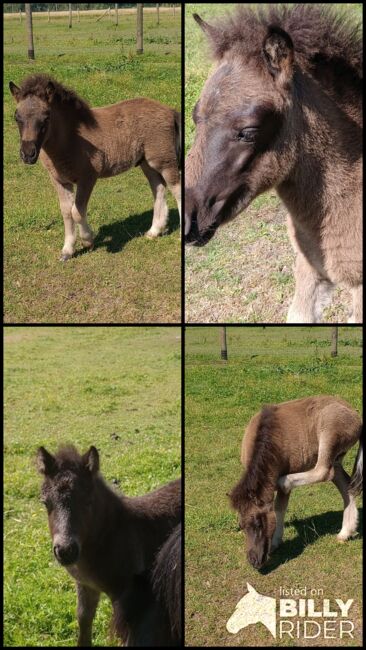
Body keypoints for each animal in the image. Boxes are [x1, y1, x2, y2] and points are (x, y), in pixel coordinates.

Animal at [11, 74, 182, 260]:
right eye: (17, 117)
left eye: (46, 117)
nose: (28, 154)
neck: (70, 139)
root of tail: (169, 110)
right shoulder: (60, 180)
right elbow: (66, 212)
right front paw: (67, 250)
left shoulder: (87, 178)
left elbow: (77, 211)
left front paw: (87, 240)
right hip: (147, 163)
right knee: (158, 188)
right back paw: (154, 231)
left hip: (164, 160)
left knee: (177, 189)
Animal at [35, 442, 182, 644]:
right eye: (45, 503)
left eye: (88, 502)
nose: (65, 551)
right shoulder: (86, 586)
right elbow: (83, 620)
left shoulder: (129, 599)